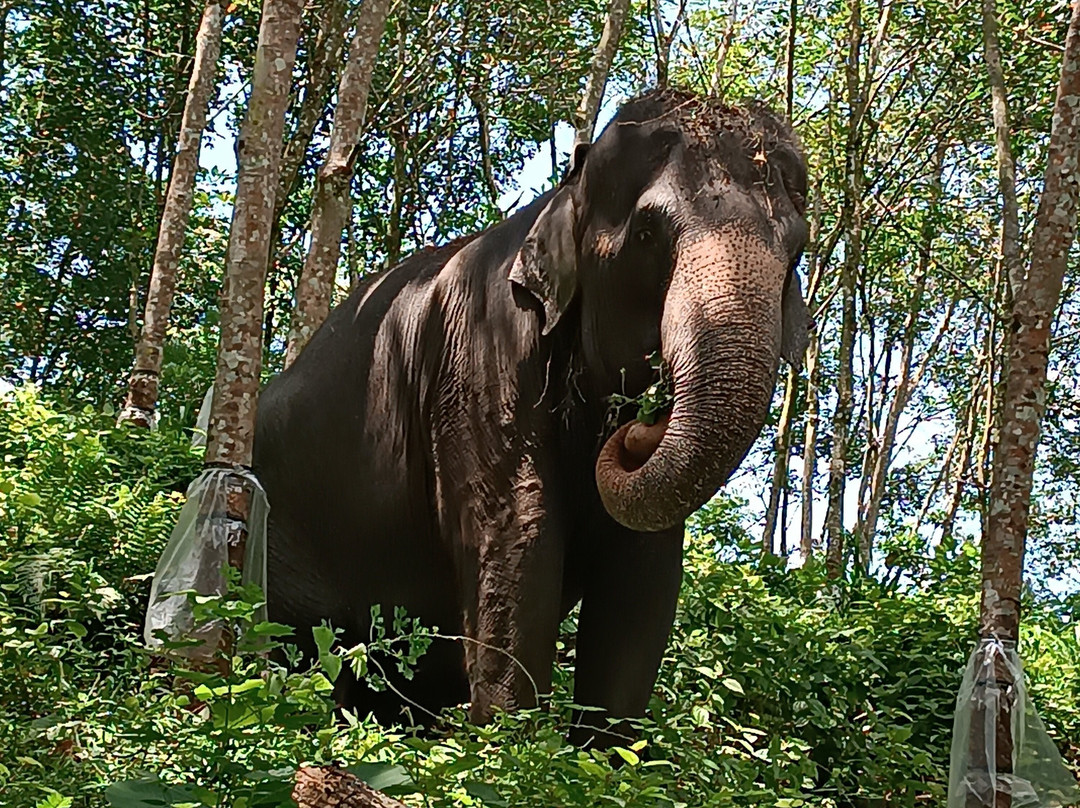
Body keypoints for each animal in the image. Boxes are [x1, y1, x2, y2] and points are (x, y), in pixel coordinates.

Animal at [252, 88, 810, 746]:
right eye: (648, 233)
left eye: (798, 249)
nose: (642, 420)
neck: (558, 198)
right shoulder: (479, 352)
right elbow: (519, 532)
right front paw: (512, 748)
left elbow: (644, 572)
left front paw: (605, 758)